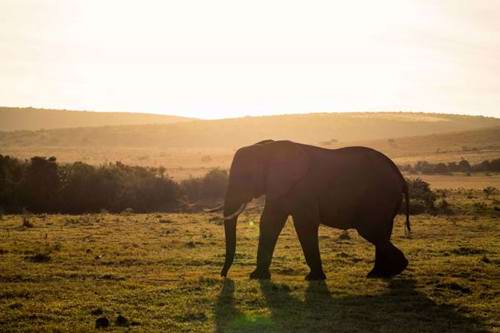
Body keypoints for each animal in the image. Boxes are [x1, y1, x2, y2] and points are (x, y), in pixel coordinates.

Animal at [211, 139, 410, 278]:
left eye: (245, 176)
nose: (224, 275)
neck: (269, 148)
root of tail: (400, 178)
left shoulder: (302, 187)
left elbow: (305, 223)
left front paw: (314, 278)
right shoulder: (281, 187)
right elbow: (269, 223)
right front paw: (257, 277)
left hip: (378, 198)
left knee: (370, 231)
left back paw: (397, 267)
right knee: (381, 232)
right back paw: (379, 274)